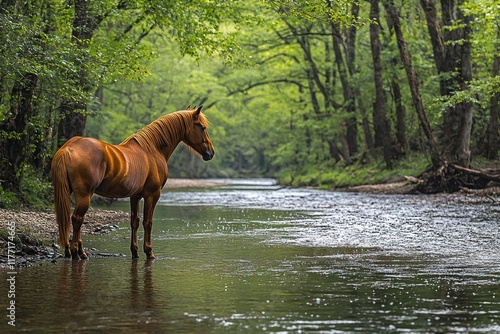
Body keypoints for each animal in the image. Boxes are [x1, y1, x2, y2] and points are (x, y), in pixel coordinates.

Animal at [51, 105, 214, 260]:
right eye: (202, 127)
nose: (211, 153)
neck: (153, 150)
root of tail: (69, 147)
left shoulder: (135, 196)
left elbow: (134, 222)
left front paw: (135, 252)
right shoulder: (152, 195)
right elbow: (147, 222)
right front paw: (149, 252)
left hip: (70, 192)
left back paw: (73, 251)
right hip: (85, 195)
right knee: (77, 219)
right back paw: (77, 252)